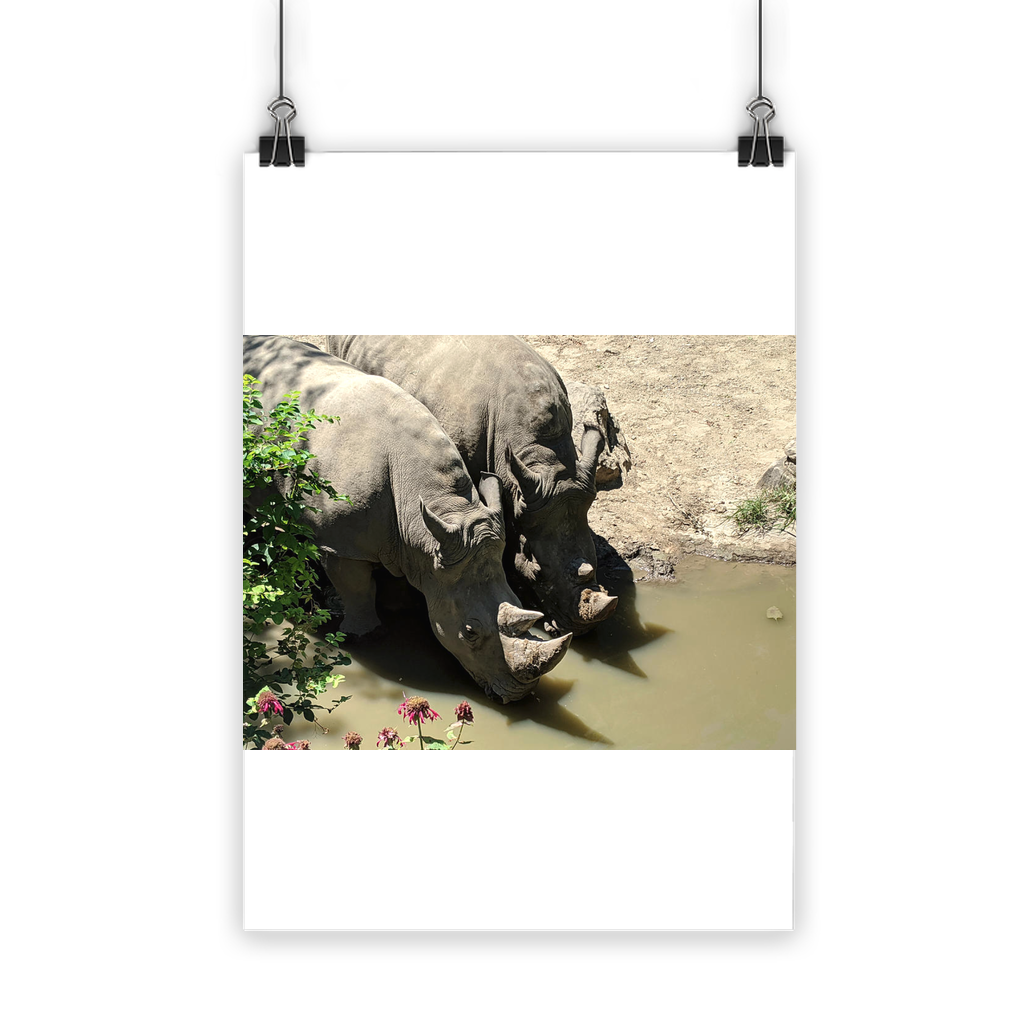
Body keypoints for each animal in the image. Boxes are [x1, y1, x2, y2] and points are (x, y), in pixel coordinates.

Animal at [242, 335, 572, 703]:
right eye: (470, 632)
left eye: (520, 603)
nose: (519, 696)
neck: (441, 504)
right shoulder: (341, 542)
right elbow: (357, 589)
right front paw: (365, 636)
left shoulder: (420, 540)